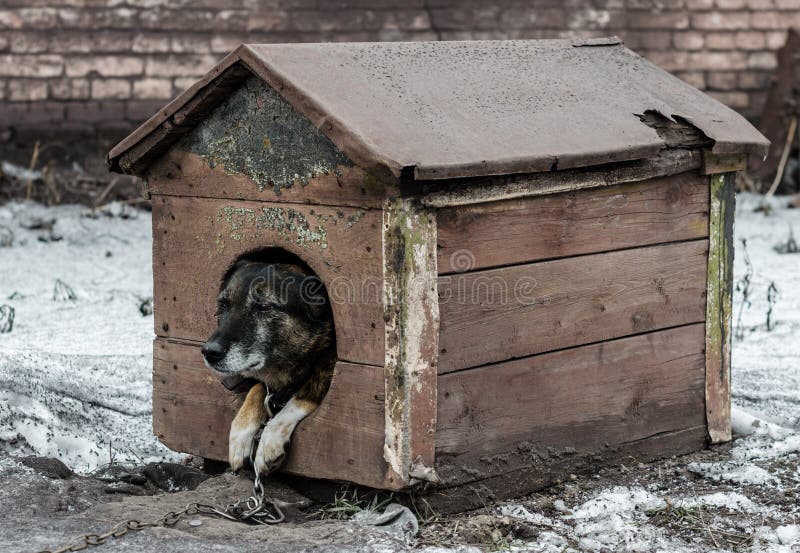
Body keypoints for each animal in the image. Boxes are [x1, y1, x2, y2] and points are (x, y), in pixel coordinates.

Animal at [203, 254, 338, 474]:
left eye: (264, 307)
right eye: (223, 305)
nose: (209, 352)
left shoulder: (330, 366)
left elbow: (307, 391)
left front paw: (270, 438)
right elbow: (257, 388)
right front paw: (240, 434)